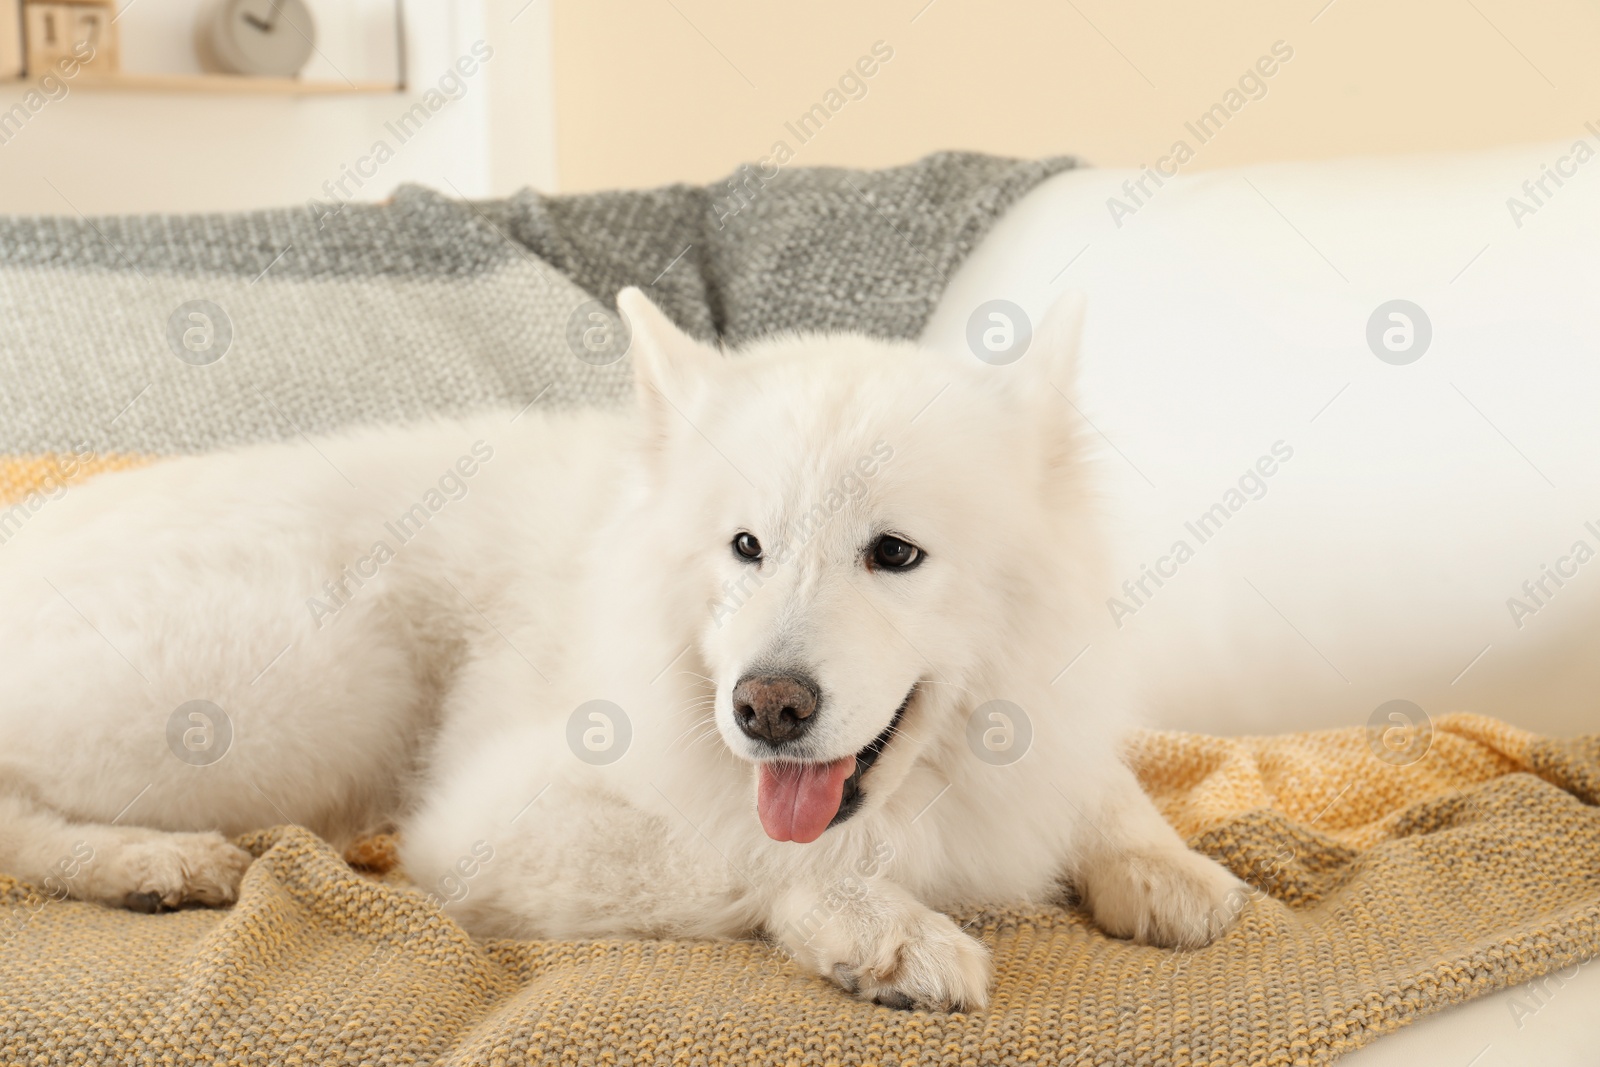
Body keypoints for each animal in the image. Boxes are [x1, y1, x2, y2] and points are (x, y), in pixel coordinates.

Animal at [0, 287, 1248, 1017]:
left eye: (894, 553)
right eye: (745, 545)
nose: (766, 707)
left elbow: (1102, 785)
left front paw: (1159, 862)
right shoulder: (489, 824)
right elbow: (753, 853)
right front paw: (878, 925)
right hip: (319, 681)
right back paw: (147, 860)